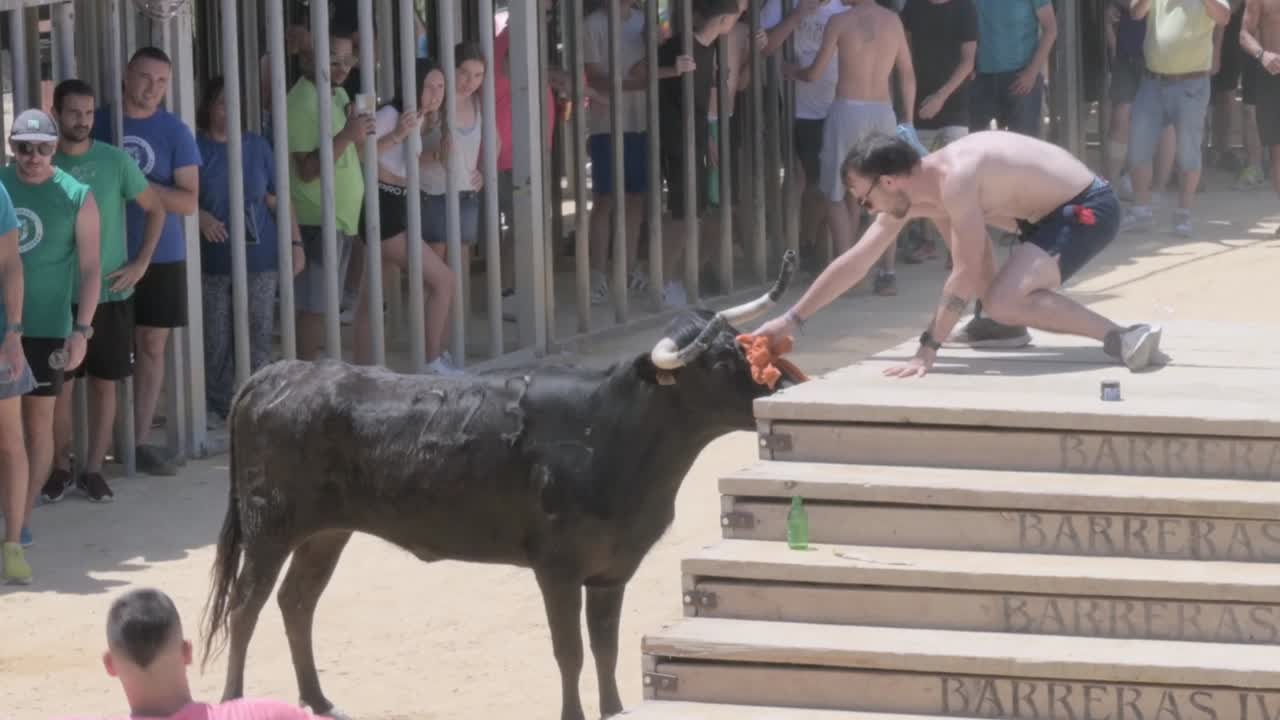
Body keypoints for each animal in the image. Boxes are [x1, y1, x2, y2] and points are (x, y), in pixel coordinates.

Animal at [201, 252, 803, 720]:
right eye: (720, 360)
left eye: (743, 342)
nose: (785, 386)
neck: (613, 432)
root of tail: (277, 374)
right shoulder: (557, 568)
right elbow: (570, 652)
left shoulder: (610, 571)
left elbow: (605, 647)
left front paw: (614, 710)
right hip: (270, 525)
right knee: (245, 607)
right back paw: (235, 700)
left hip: (326, 532)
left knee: (296, 602)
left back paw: (319, 699)